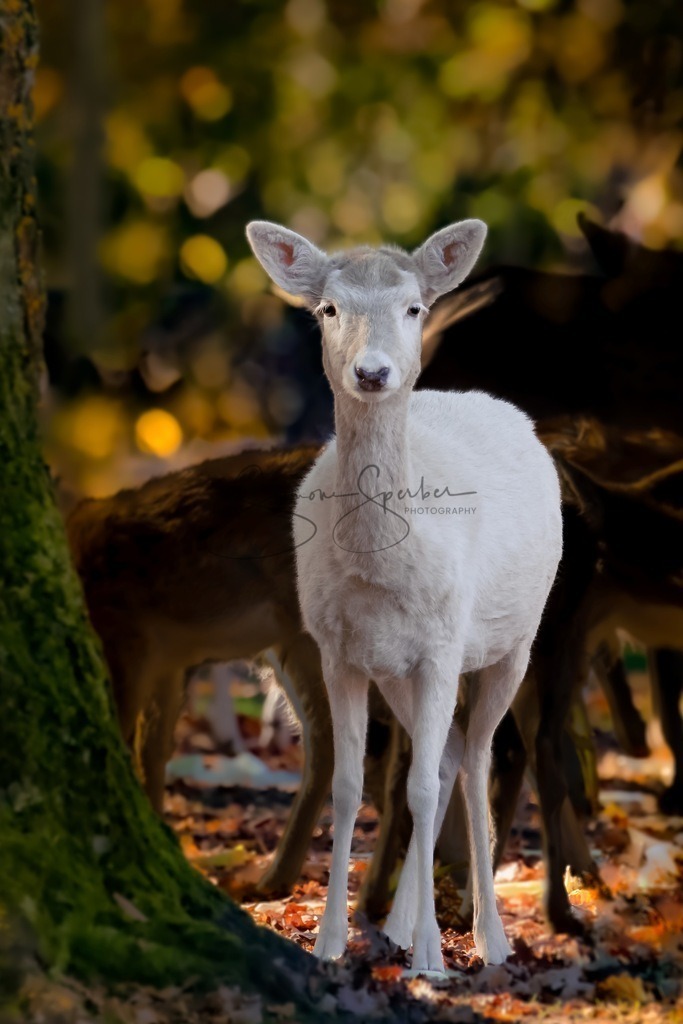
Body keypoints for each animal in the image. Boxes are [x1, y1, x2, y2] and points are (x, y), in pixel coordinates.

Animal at [246, 218, 563, 971]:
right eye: (327, 308)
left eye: (415, 306)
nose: (371, 373)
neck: (382, 569)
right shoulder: (335, 648)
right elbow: (348, 786)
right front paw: (330, 944)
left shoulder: (443, 647)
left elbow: (417, 785)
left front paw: (430, 961)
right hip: (396, 670)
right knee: (443, 758)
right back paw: (395, 925)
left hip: (516, 637)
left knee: (474, 759)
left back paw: (487, 939)